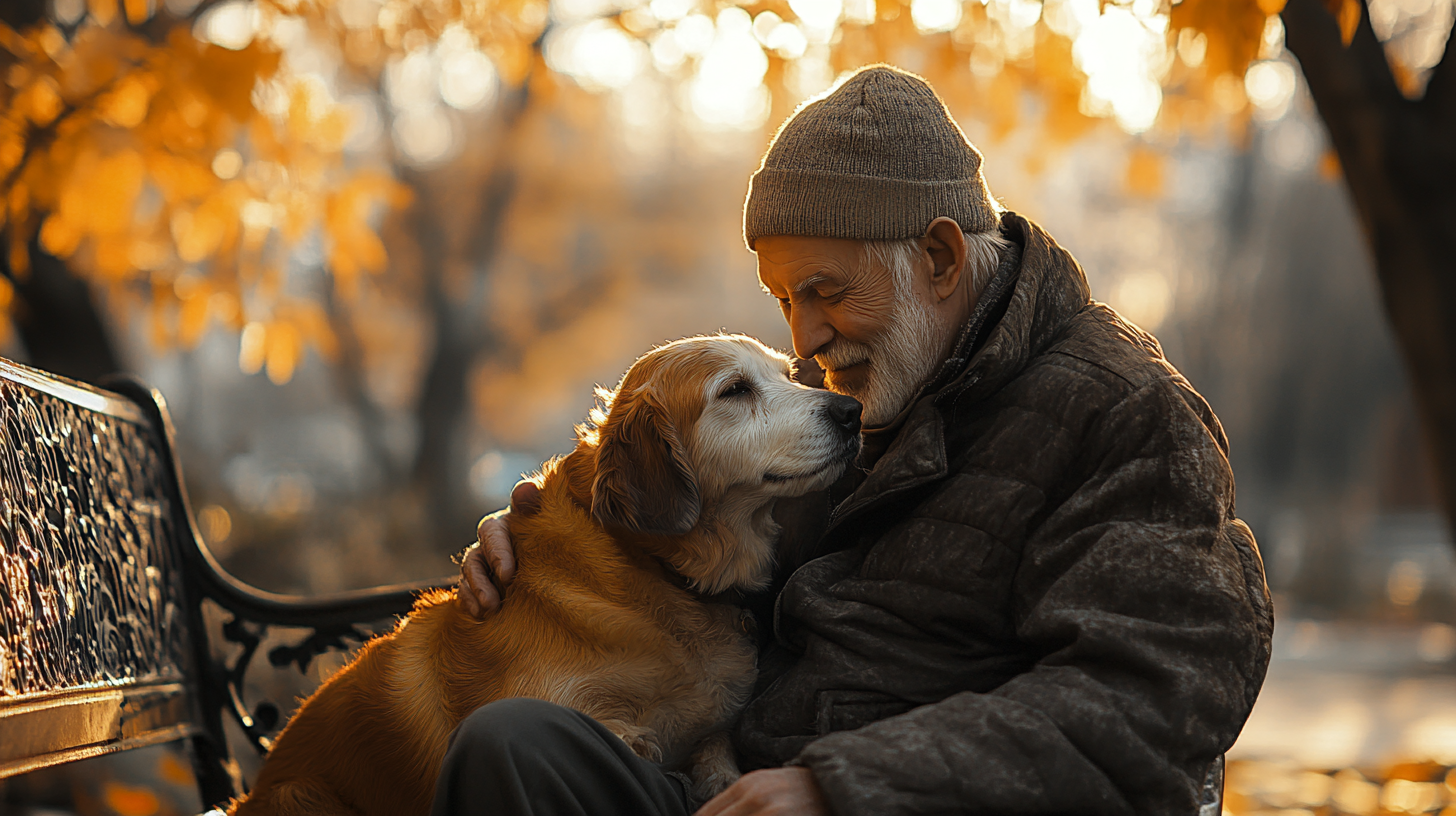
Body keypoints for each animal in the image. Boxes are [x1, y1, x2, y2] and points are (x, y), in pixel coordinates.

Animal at [228, 335, 861, 816]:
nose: (850, 410)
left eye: (788, 374)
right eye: (734, 390)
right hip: (301, 797)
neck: (654, 573)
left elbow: (719, 764)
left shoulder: (711, 738)